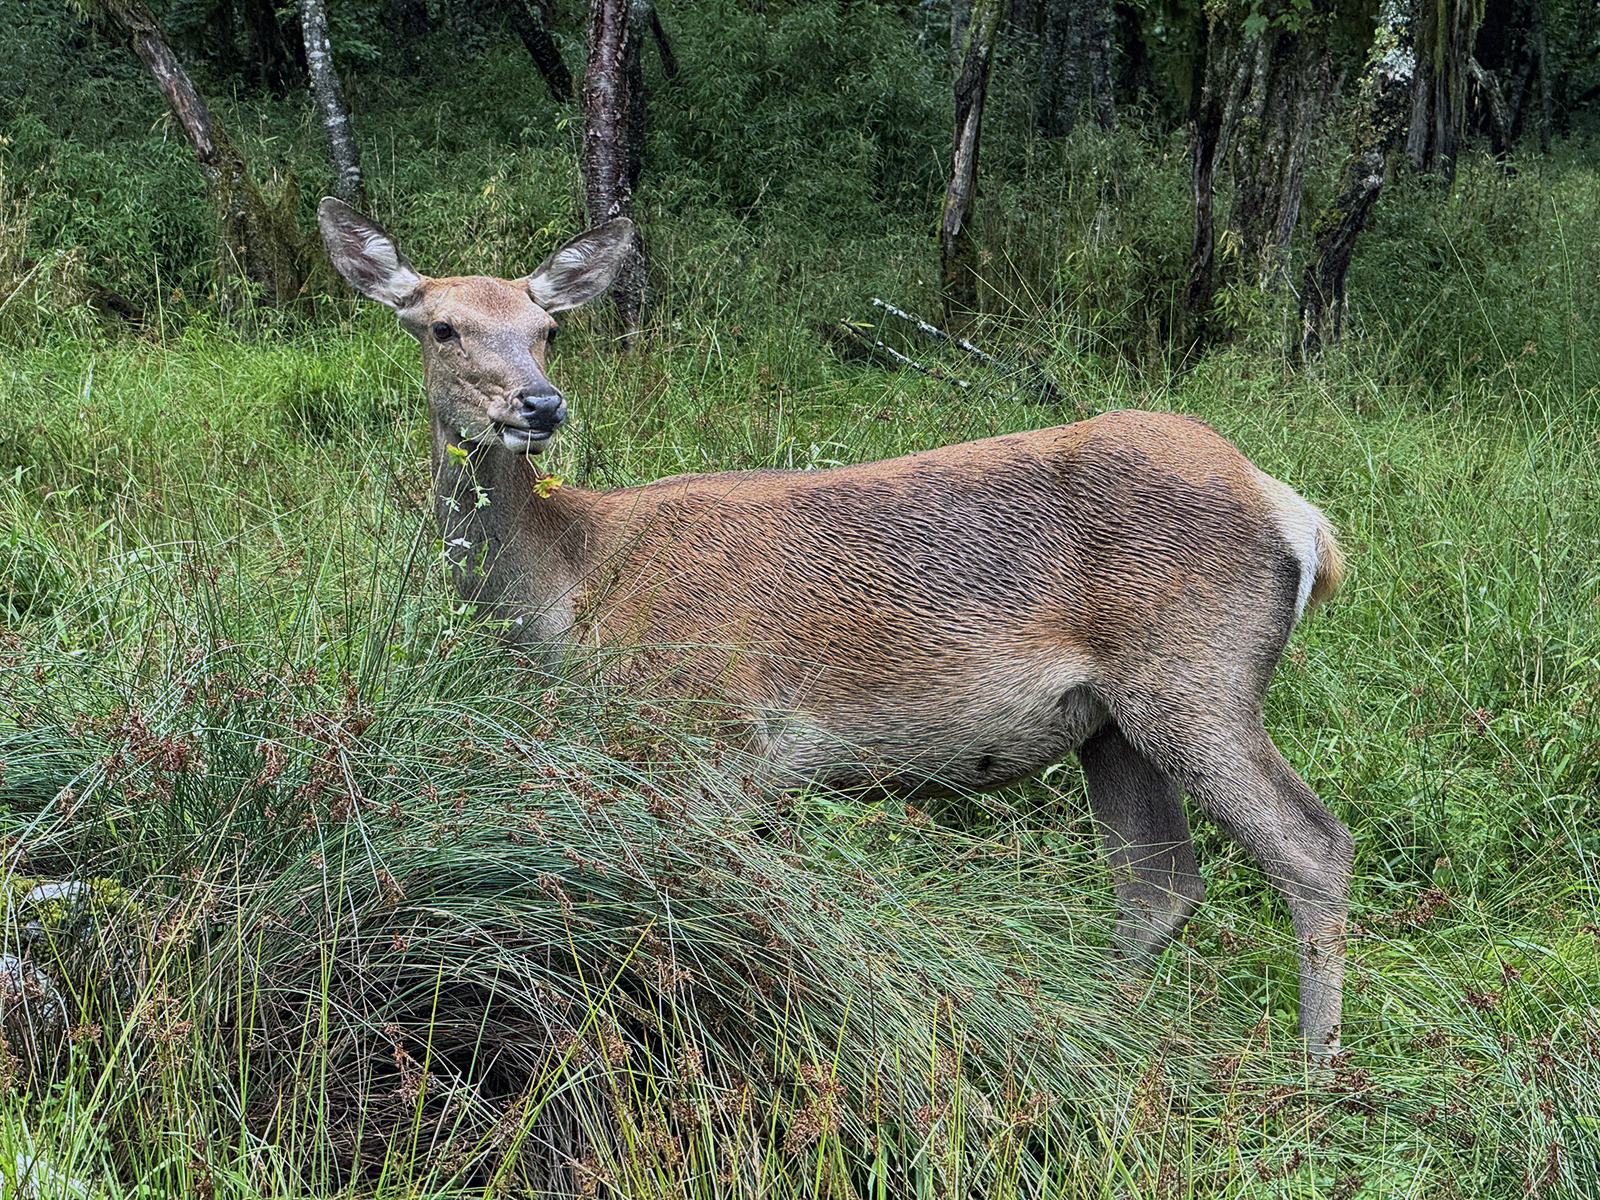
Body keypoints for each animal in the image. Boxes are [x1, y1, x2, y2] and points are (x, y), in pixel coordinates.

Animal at [318, 197, 1354, 1060]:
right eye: (441, 324)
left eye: (547, 328)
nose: (538, 404)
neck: (574, 588)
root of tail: (1300, 517)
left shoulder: (712, 734)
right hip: (1111, 720)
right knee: (1159, 884)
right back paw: (1101, 1030)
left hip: (1195, 675)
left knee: (1312, 847)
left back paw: (1315, 1069)